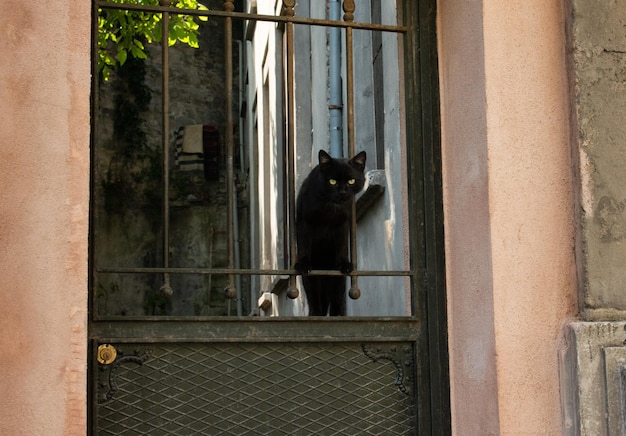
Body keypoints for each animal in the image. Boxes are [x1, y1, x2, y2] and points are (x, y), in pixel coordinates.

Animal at [294, 148, 366, 316]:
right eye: (332, 181)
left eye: (351, 181)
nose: (342, 192)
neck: (329, 210)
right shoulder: (304, 221)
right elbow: (304, 243)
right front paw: (303, 263)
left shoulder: (342, 224)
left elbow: (342, 246)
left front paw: (344, 264)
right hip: (314, 279)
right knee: (315, 298)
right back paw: (316, 314)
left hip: (334, 278)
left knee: (336, 296)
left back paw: (337, 314)